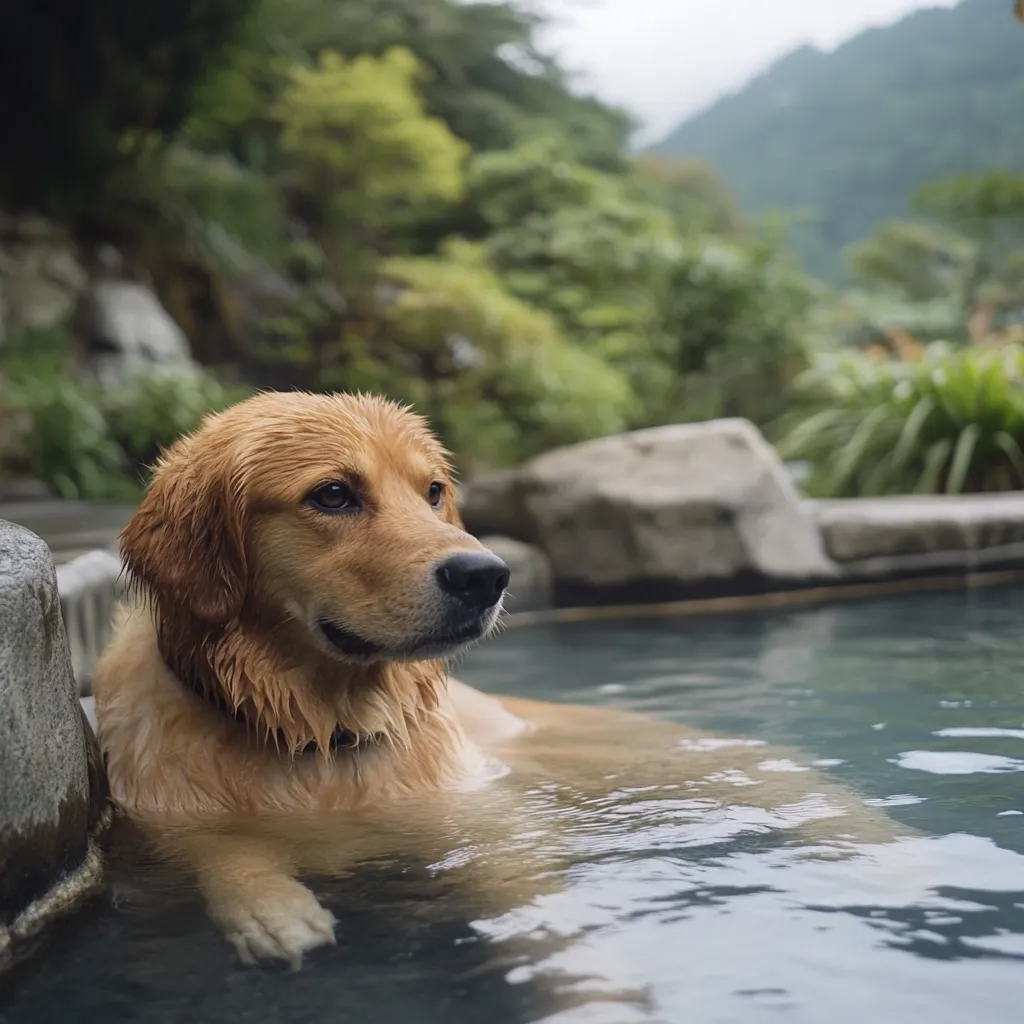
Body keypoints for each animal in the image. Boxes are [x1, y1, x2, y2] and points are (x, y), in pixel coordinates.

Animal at [92, 389, 909, 966]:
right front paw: (267, 904)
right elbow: (220, 849)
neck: (324, 735)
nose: (485, 575)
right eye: (332, 494)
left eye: (432, 491)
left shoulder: (480, 825)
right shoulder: (164, 818)